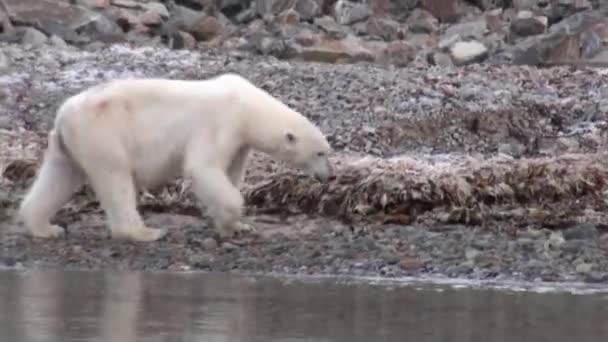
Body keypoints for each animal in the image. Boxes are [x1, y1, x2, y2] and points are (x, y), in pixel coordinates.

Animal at [17, 73, 332, 242]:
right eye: (320, 152)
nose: (330, 175)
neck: (248, 108)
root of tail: (62, 115)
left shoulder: (240, 142)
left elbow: (230, 173)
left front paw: (236, 225)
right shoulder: (221, 122)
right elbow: (203, 166)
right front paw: (232, 221)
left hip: (69, 144)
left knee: (60, 176)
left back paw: (45, 227)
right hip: (102, 133)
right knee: (115, 178)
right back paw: (143, 232)